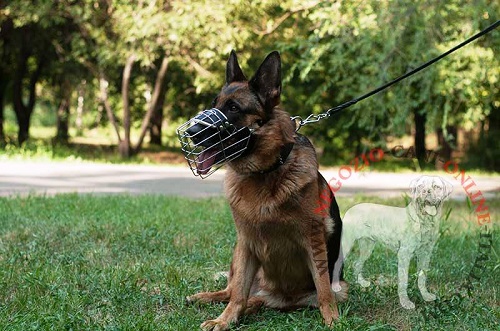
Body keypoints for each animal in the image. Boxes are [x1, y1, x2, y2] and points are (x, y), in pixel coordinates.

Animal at [186, 50, 346, 330]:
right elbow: (238, 291)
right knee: (232, 291)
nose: (192, 131)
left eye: (233, 108)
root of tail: (276, 297)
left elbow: (324, 289)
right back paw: (207, 298)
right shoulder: (246, 241)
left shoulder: (313, 240)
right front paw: (225, 320)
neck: (265, 172)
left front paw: (332, 319)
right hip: (238, 252)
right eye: (215, 104)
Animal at [332, 176, 454, 308]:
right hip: (346, 244)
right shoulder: (404, 254)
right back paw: (336, 286)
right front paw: (405, 302)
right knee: (337, 263)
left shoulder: (426, 253)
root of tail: (350, 209)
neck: (425, 220)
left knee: (357, 263)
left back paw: (362, 283)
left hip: (367, 246)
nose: (425, 191)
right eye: (420, 186)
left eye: (436, 186)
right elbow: (404, 280)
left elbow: (422, 276)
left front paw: (426, 296)